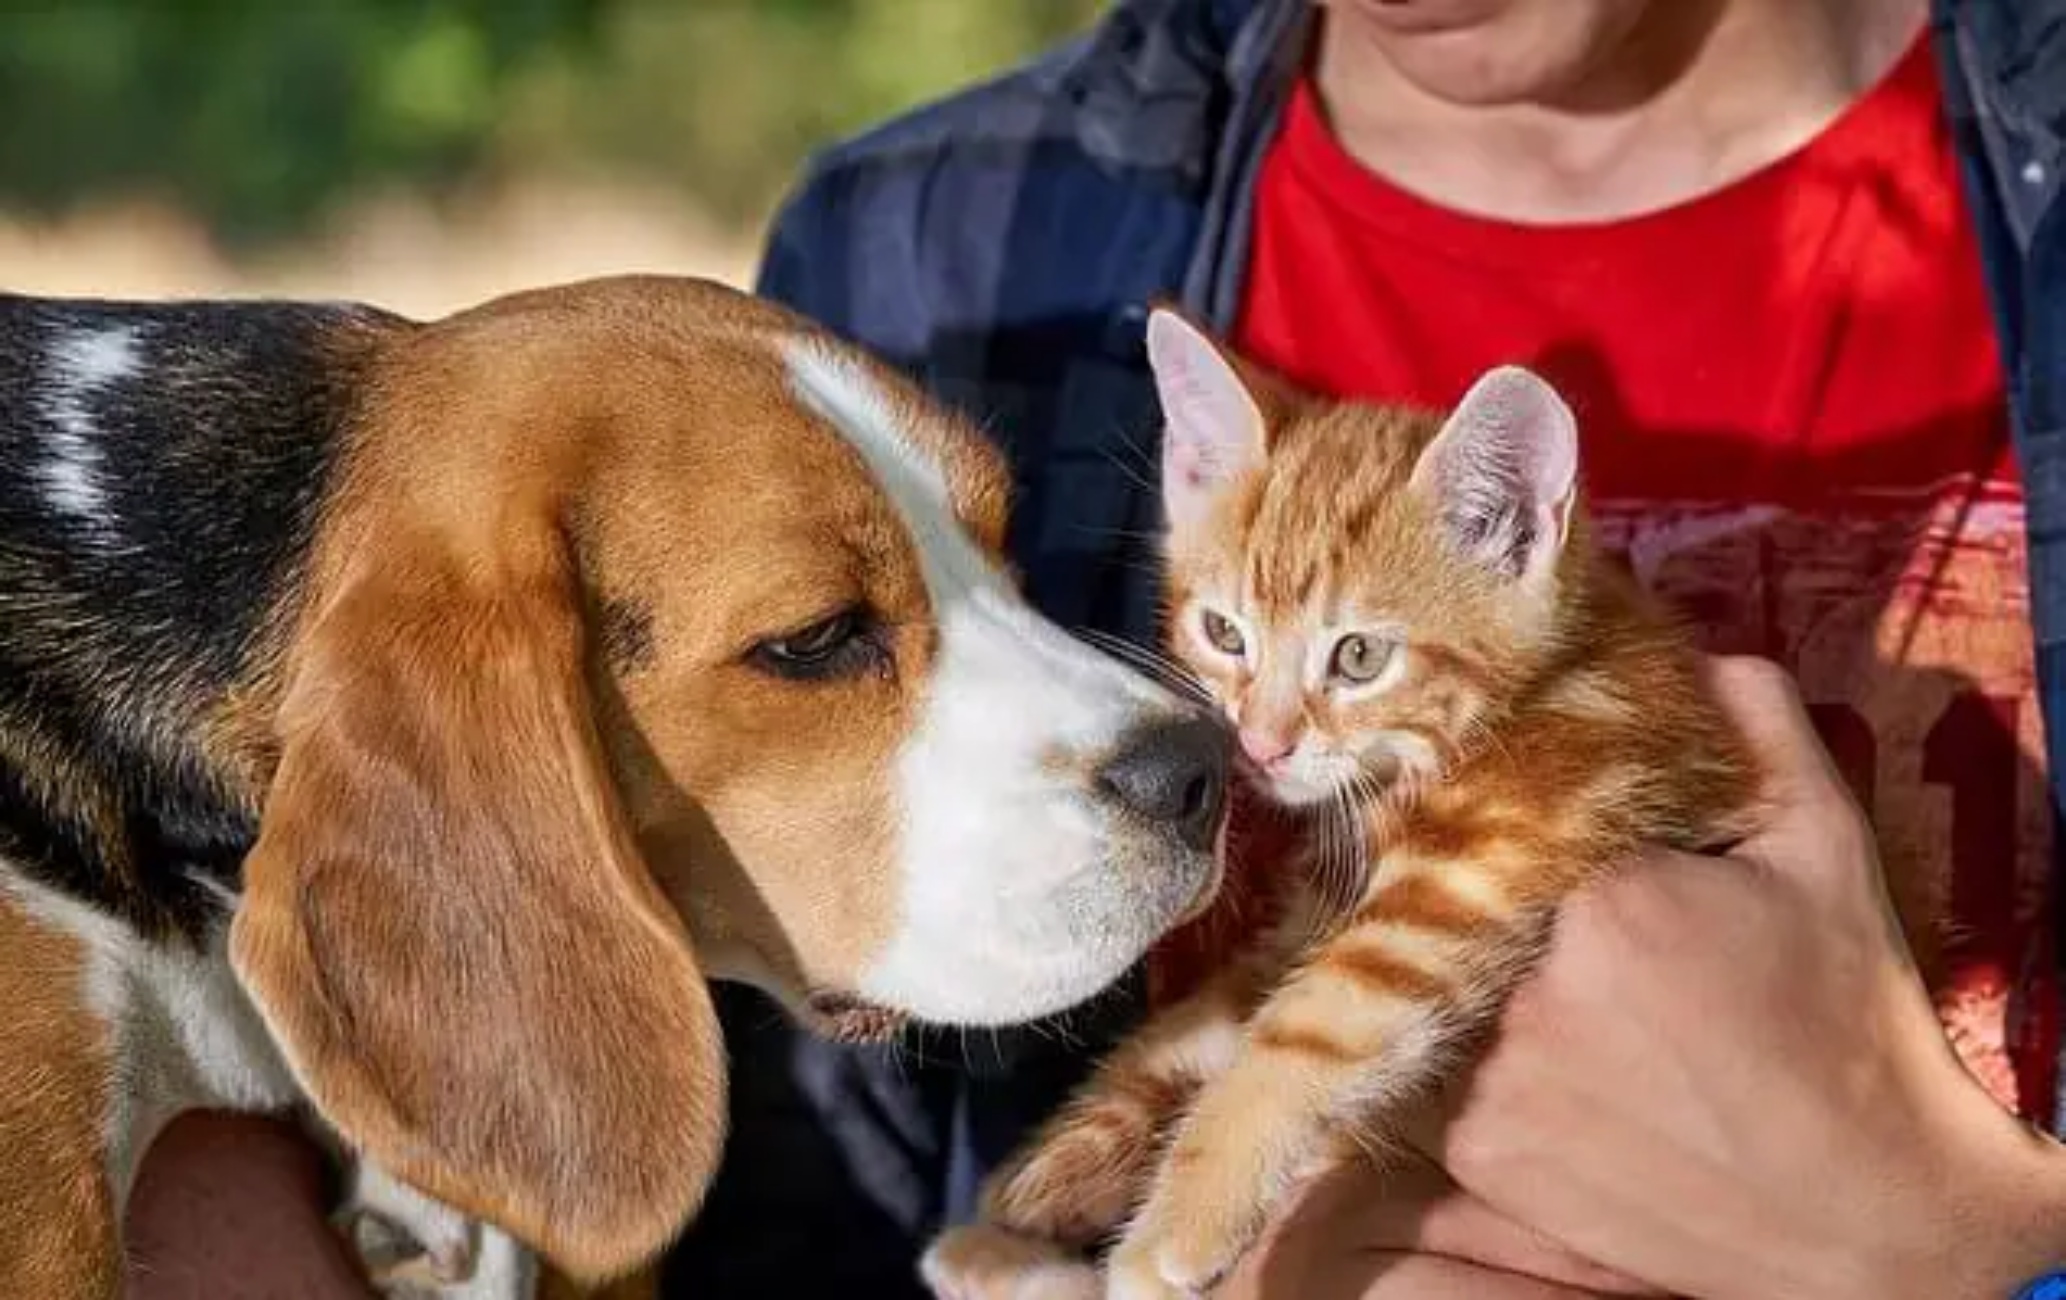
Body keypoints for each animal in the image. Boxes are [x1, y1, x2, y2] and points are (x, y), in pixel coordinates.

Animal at [929, 312, 1768, 1297]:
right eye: (1225, 635)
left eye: (1360, 657)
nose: (1259, 744)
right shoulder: (1305, 918)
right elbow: (1201, 1020)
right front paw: (1056, 1164)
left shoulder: (1486, 864)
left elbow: (1307, 1030)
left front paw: (1176, 1222)